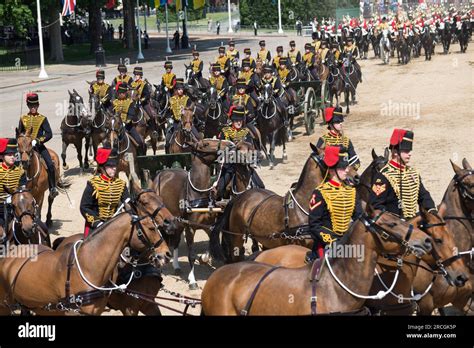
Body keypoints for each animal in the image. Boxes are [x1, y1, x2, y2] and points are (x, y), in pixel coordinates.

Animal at [0, 184, 173, 316]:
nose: (167, 254)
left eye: (161, 199)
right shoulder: (128, 308)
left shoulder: (149, 304)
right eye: (151, 227)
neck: (87, 266)